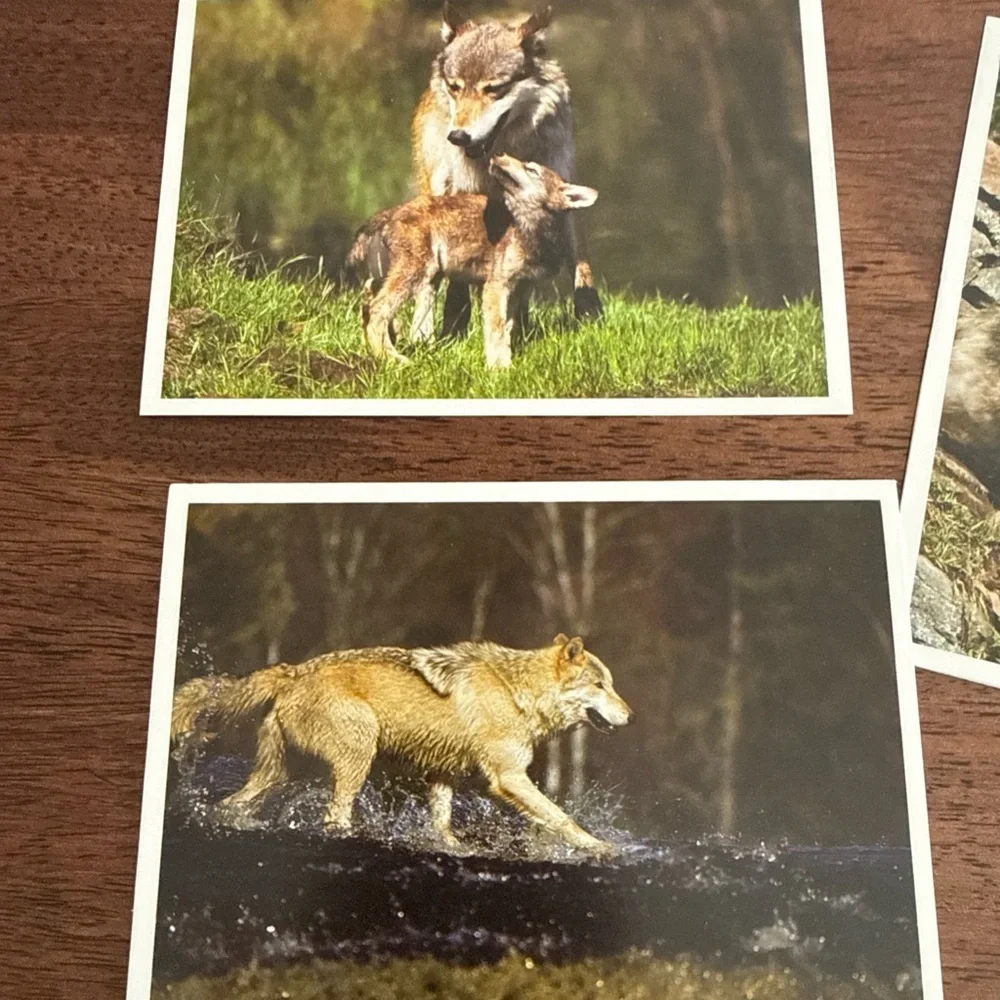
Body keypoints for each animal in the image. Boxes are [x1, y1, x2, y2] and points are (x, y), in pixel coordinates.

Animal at [171, 634, 632, 855]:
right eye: (600, 685)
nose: (630, 715)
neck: (518, 691)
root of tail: (292, 671)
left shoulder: (443, 776)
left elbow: (442, 823)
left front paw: (452, 847)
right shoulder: (508, 779)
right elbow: (562, 818)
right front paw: (601, 848)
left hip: (279, 775)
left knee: (233, 805)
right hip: (358, 755)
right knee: (334, 817)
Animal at [345, 153, 597, 367]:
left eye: (531, 169)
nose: (498, 155)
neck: (531, 232)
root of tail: (392, 211)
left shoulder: (518, 288)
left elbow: (506, 328)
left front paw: (504, 364)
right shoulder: (495, 286)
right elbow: (496, 330)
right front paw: (499, 369)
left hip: (418, 275)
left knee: (369, 302)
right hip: (417, 273)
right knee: (376, 310)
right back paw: (392, 358)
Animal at [408, 2, 601, 342]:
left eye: (493, 89)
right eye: (455, 87)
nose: (458, 136)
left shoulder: (561, 190)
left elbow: (581, 261)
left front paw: (590, 313)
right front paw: (452, 323)